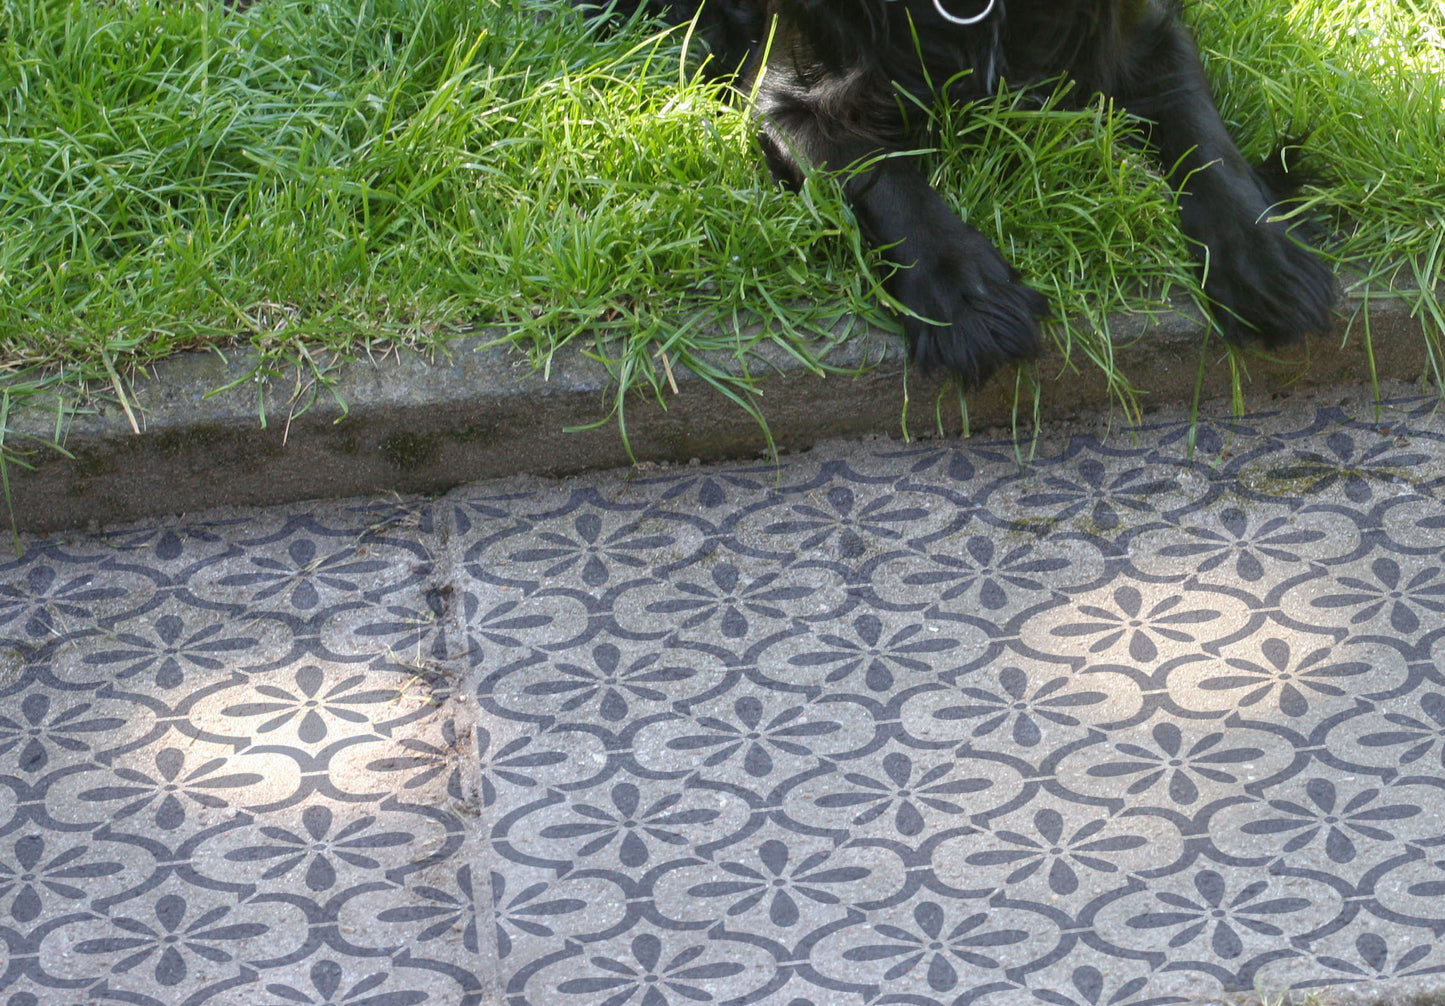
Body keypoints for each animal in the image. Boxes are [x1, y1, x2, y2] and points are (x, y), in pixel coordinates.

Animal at [569, 0, 1335, 387]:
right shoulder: (790, 95)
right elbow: (884, 180)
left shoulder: (1148, 38)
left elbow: (1204, 142)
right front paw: (963, 297)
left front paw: (1265, 257)